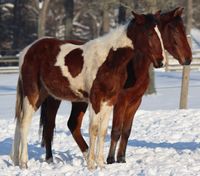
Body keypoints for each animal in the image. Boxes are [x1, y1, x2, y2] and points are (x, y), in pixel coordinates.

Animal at [10, 10, 165, 169]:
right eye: (149, 33)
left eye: (160, 33)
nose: (160, 61)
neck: (109, 61)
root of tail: (26, 51)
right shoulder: (95, 99)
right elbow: (94, 128)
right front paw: (91, 165)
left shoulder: (110, 100)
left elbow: (103, 130)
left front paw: (101, 164)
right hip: (32, 94)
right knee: (25, 123)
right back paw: (24, 162)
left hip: (42, 95)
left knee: (21, 121)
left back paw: (16, 160)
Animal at [39, 7, 192, 165]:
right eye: (174, 30)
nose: (188, 58)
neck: (133, 66)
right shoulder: (120, 102)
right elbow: (116, 130)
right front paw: (111, 159)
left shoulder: (134, 102)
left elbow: (126, 131)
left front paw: (121, 158)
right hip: (55, 99)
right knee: (50, 126)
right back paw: (51, 159)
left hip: (79, 101)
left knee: (72, 124)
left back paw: (87, 155)